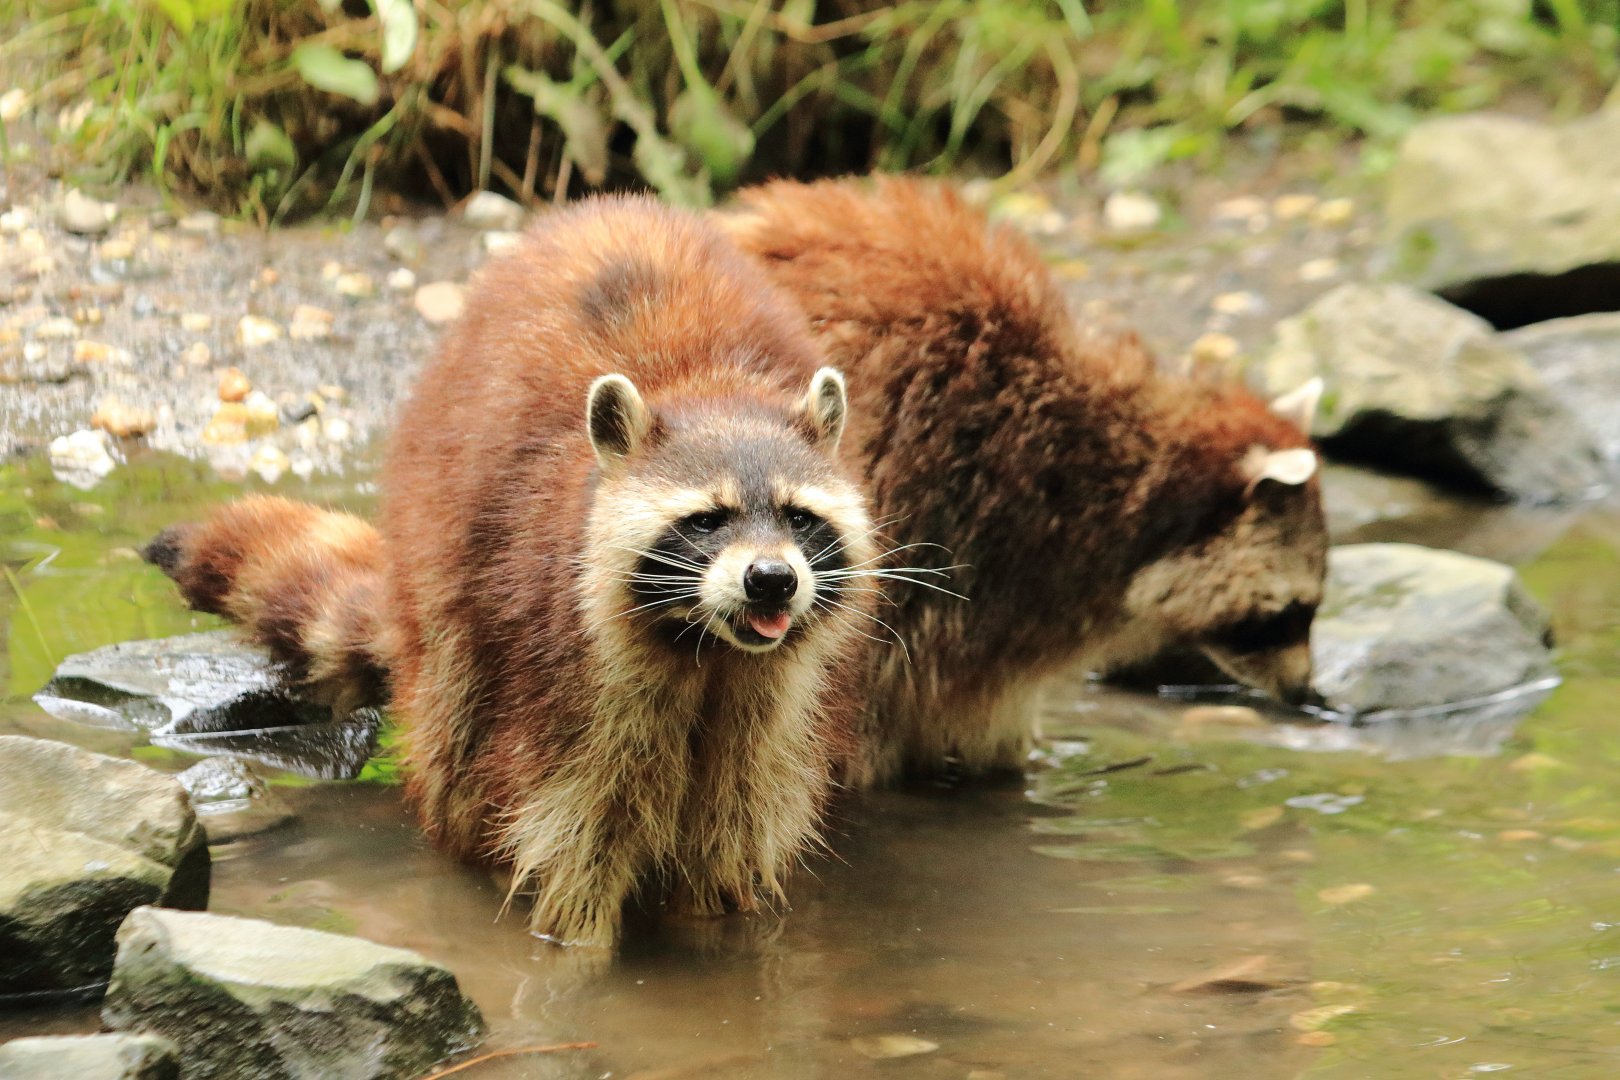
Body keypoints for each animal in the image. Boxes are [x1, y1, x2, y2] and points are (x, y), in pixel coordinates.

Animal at [147, 197, 876, 946]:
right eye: (707, 520)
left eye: (797, 517)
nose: (771, 579)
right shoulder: (566, 661)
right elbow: (580, 826)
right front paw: (573, 943)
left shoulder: (774, 703)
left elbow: (733, 828)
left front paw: (722, 933)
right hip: (444, 558)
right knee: (460, 722)